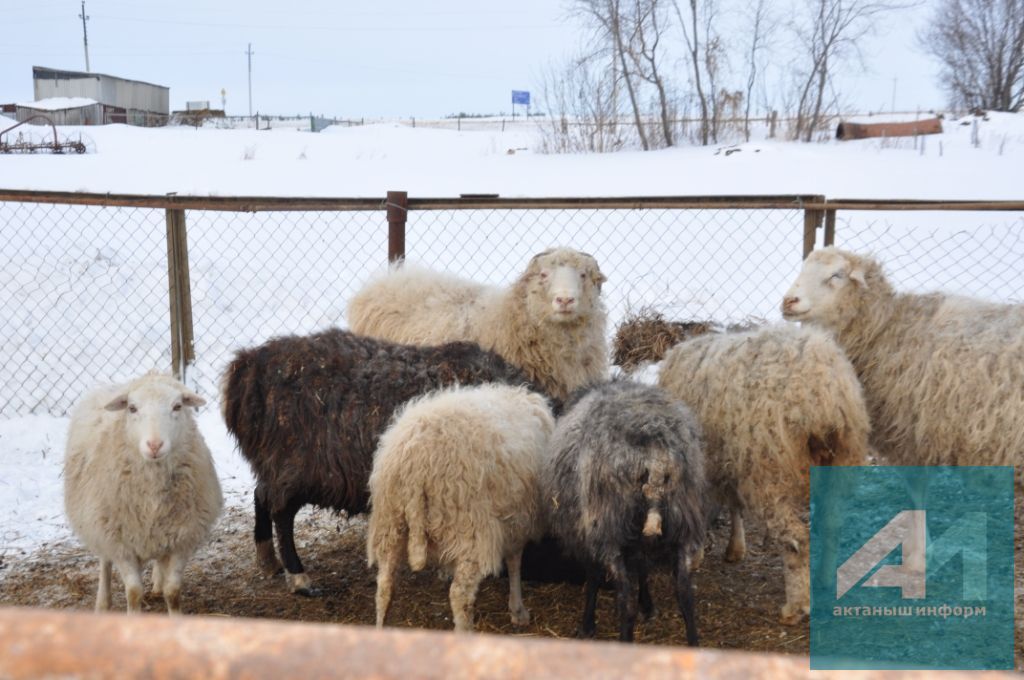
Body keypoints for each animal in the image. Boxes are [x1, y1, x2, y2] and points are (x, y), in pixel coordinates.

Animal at [65, 374, 224, 614]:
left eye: (177, 406)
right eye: (132, 408)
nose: (155, 445)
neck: (153, 494)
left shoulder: (182, 539)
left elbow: (173, 591)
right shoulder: (120, 543)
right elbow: (134, 593)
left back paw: (157, 582)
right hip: (99, 524)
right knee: (104, 562)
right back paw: (103, 602)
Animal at [362, 383, 548, 630]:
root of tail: (414, 465)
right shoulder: (518, 519)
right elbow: (515, 562)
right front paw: (518, 610)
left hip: (390, 523)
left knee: (384, 587)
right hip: (469, 528)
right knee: (460, 596)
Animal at [655, 327, 872, 622]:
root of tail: (821, 395)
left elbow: (703, 508)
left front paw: (695, 554)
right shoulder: (727, 460)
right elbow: (732, 504)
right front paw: (735, 547)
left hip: (770, 471)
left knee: (796, 539)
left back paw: (797, 606)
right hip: (840, 463)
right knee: (832, 523)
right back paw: (825, 578)